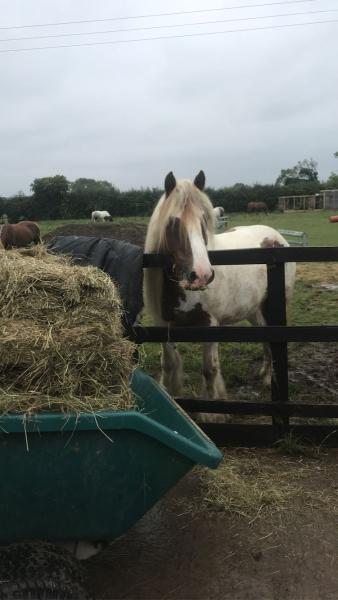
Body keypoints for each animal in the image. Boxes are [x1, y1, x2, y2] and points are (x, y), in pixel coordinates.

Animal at [144, 169, 298, 404]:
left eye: (204, 220)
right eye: (174, 222)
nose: (202, 275)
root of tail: (277, 237)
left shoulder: (211, 326)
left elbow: (210, 370)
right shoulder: (164, 325)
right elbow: (169, 364)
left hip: (273, 307)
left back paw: (266, 380)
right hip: (253, 310)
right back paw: (262, 373)